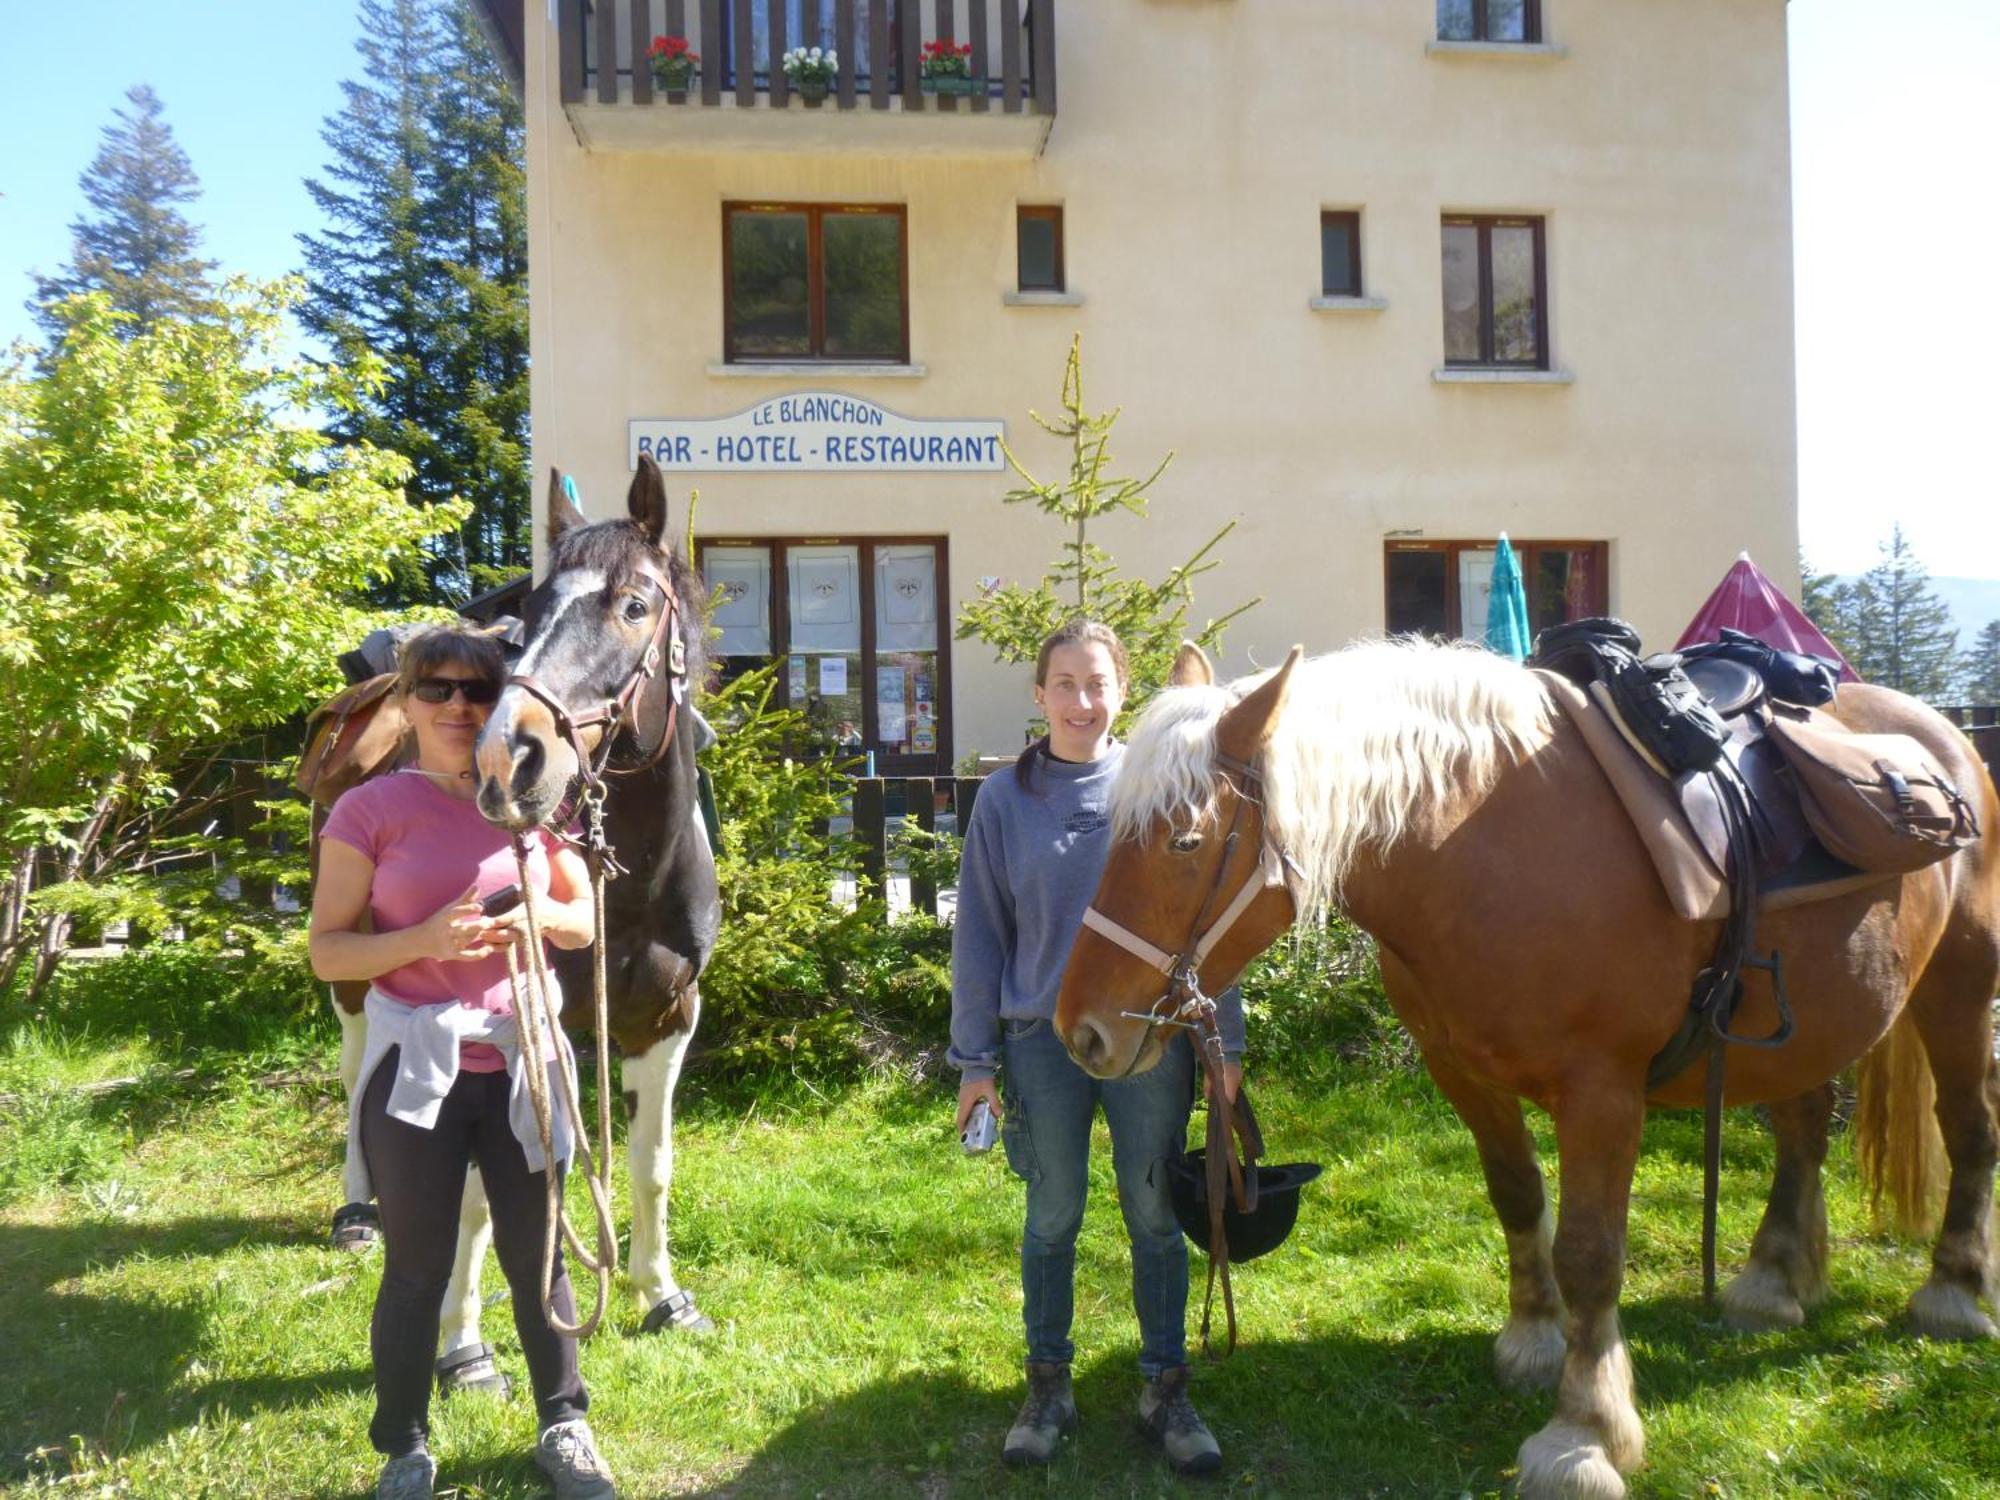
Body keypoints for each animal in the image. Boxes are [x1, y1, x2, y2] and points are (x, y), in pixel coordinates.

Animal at [1056, 640, 1992, 1500]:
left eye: (1184, 840)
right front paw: (1535, 1340)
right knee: (1804, 1134)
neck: (1484, 847)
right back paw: (1769, 1284)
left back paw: (1952, 1292)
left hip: (1957, 988)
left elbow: (1590, 1253)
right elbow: (1516, 1198)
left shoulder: (1602, 1094)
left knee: (1968, 1131)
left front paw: (1583, 1433)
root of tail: (1946, 736)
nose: (1082, 1031)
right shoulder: (1462, 1075)